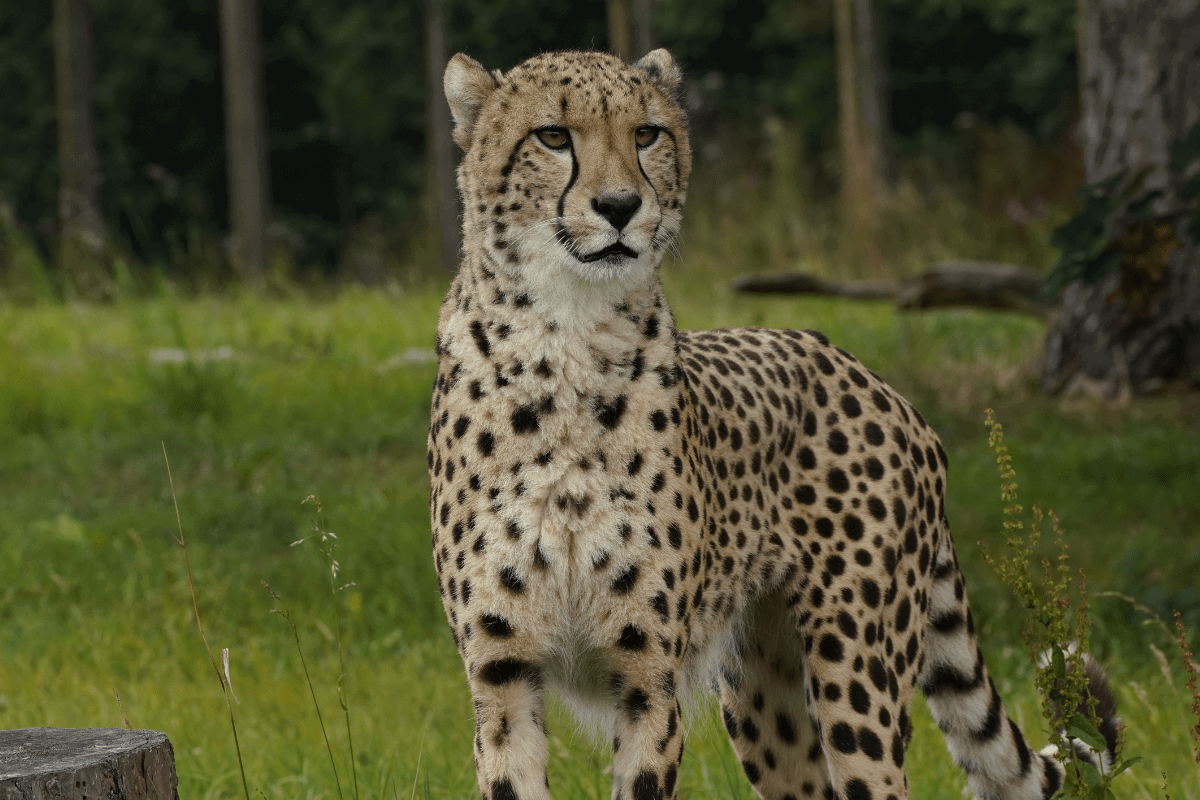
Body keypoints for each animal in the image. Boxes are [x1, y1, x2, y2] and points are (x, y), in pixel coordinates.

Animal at [426, 48, 1119, 800]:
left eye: (647, 134)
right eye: (552, 136)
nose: (620, 207)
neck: (567, 340)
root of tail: (870, 376)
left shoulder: (648, 679)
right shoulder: (502, 677)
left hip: (854, 675)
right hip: (765, 696)